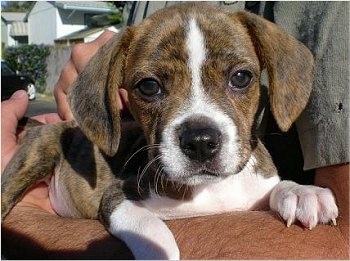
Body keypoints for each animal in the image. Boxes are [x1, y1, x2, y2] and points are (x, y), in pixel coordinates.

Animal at [1, 3, 338, 258]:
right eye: (149, 87)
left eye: (241, 77)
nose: (200, 141)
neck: (209, 189)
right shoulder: (117, 197)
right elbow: (151, 227)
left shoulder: (252, 191)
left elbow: (273, 188)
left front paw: (301, 192)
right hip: (34, 159)